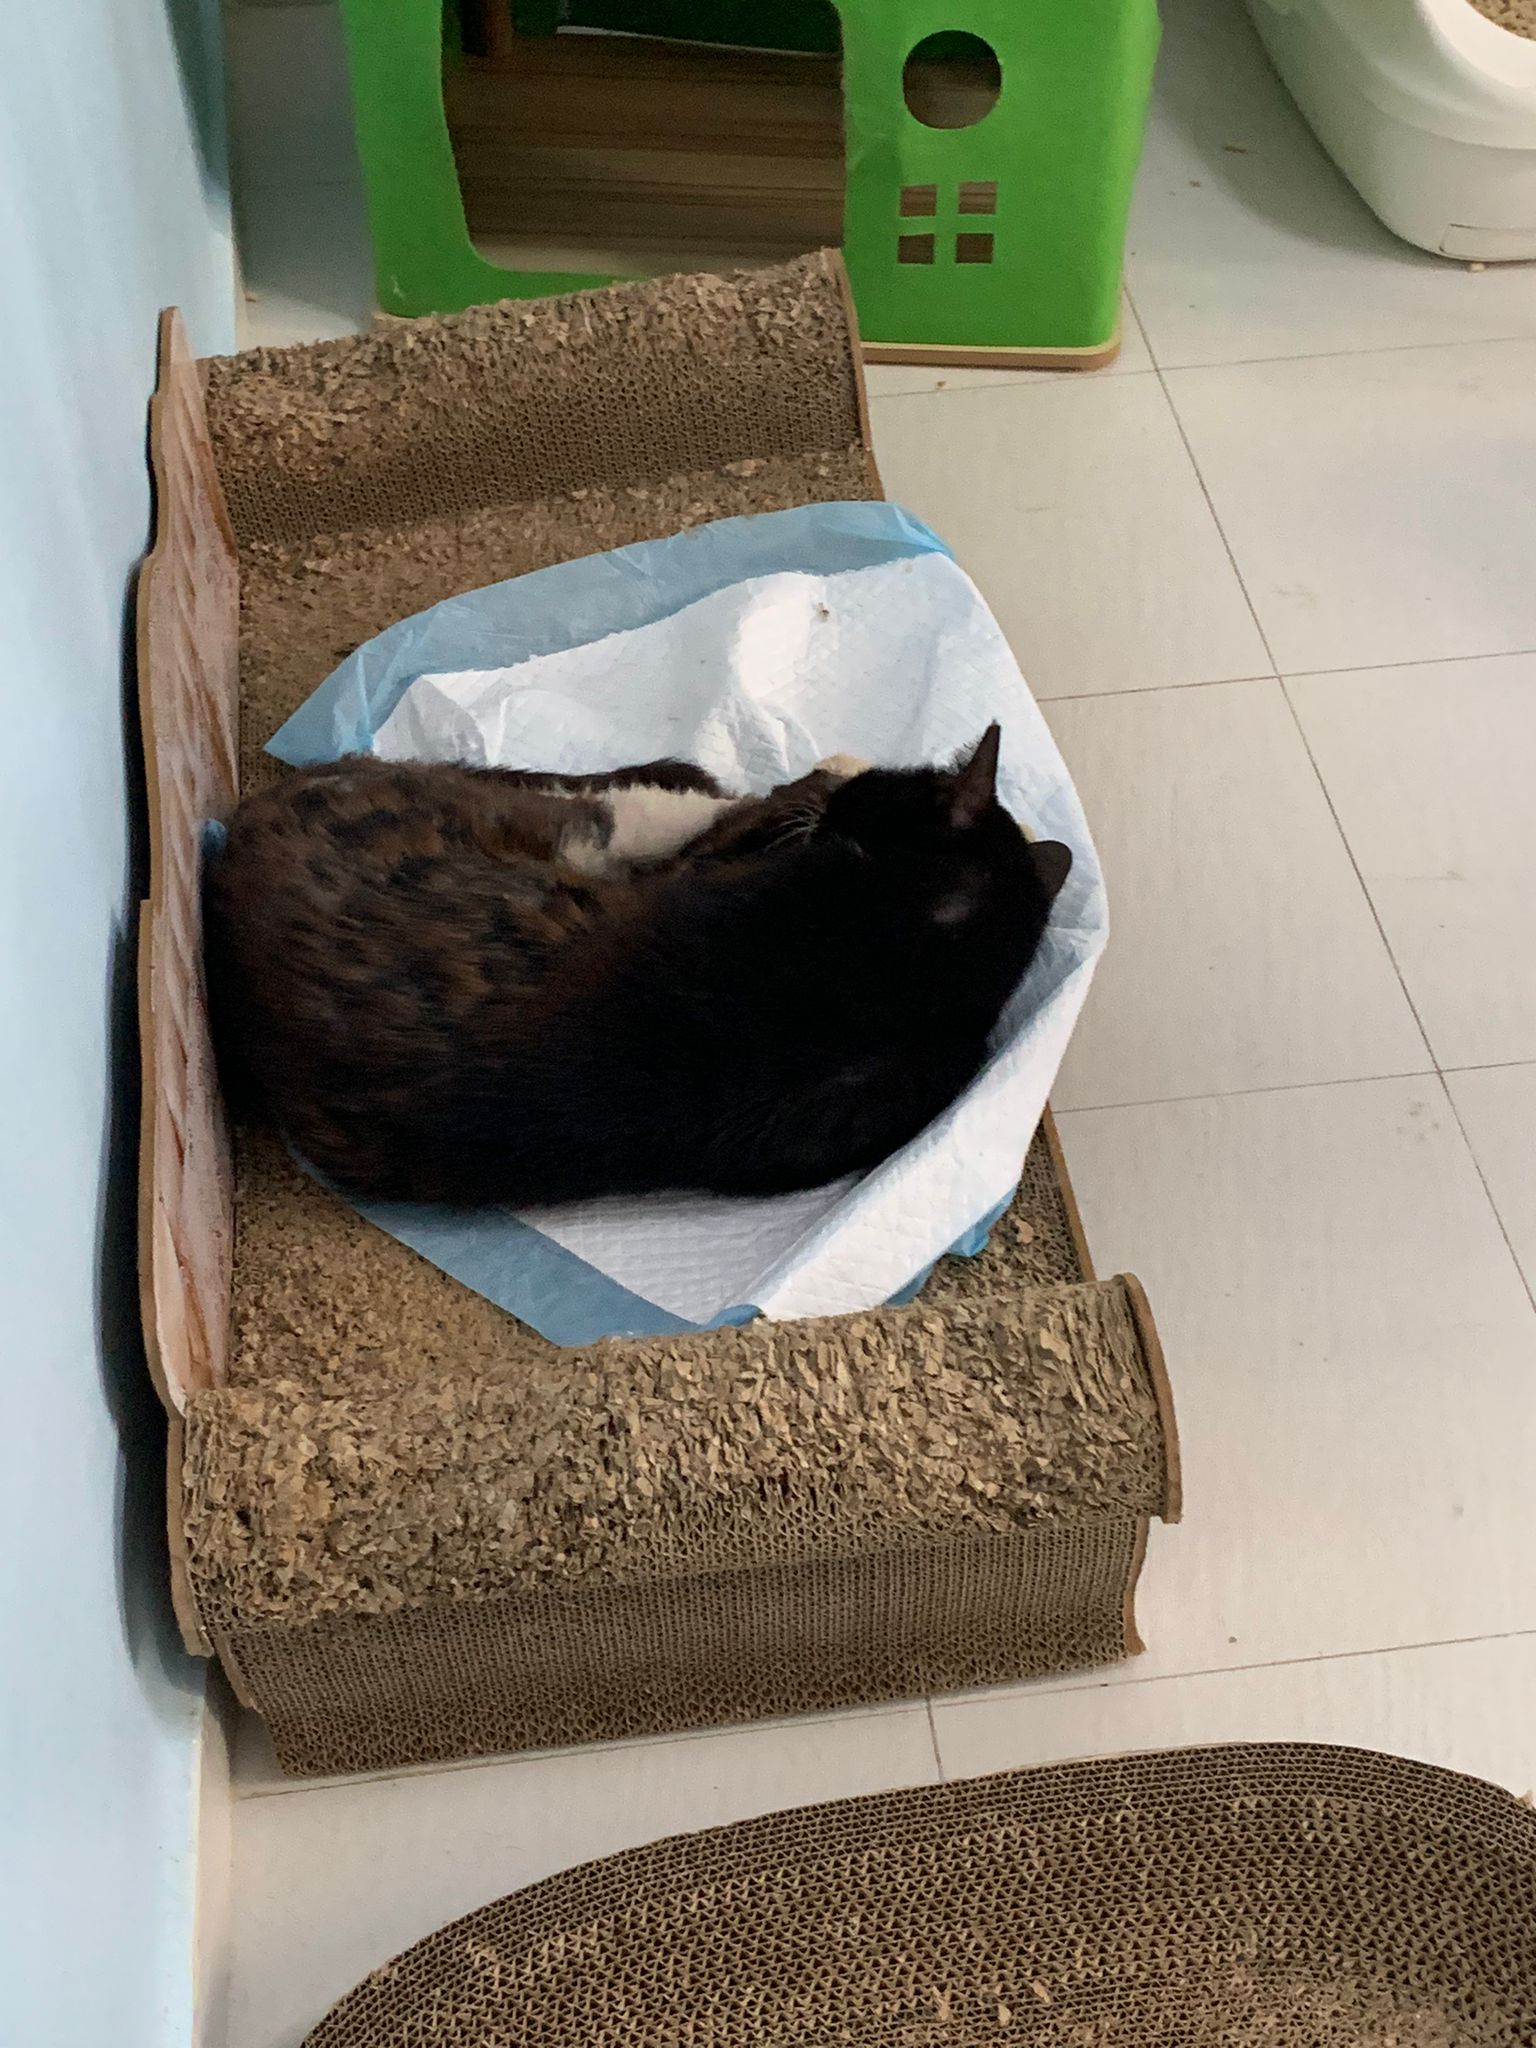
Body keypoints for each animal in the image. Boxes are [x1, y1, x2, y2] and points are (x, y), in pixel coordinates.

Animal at [203, 727, 1072, 1206]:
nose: (855, 792)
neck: (906, 981)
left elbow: (756, 810)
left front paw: (825, 774)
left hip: (570, 826)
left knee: (638, 801)